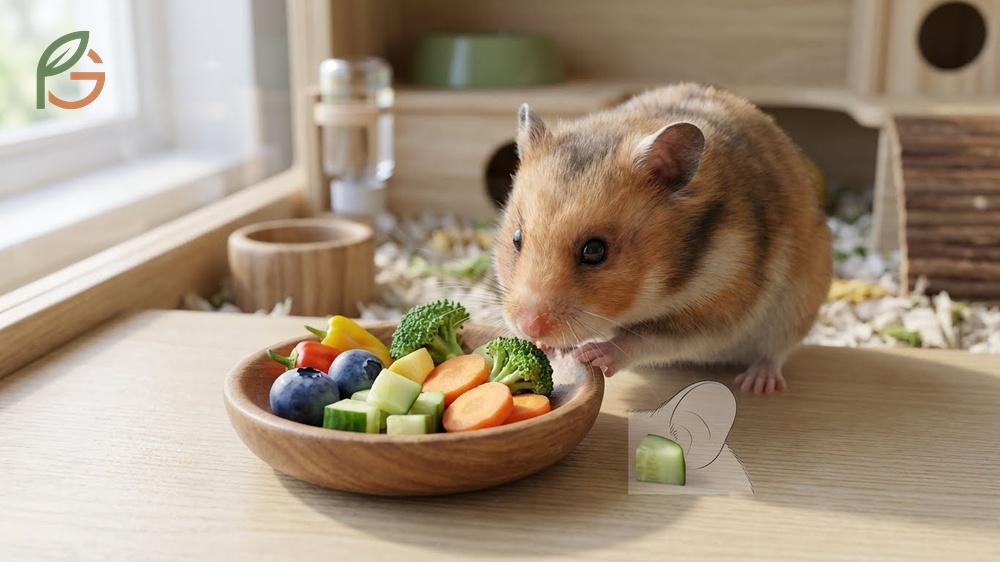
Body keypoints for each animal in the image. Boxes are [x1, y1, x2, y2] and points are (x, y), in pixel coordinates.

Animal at [493, 82, 832, 394]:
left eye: (594, 251)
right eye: (517, 238)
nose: (528, 325)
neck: (664, 280)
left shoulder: (717, 312)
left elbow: (644, 339)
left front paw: (593, 354)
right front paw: (542, 345)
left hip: (798, 305)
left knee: (774, 352)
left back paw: (758, 384)